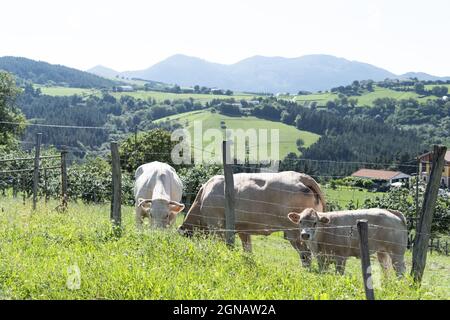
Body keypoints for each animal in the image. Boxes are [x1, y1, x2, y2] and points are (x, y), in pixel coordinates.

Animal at [178, 171, 326, 266]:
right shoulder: (243, 229)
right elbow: (247, 249)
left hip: (295, 231)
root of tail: (301, 176)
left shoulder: (216, 225)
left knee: (306, 254)